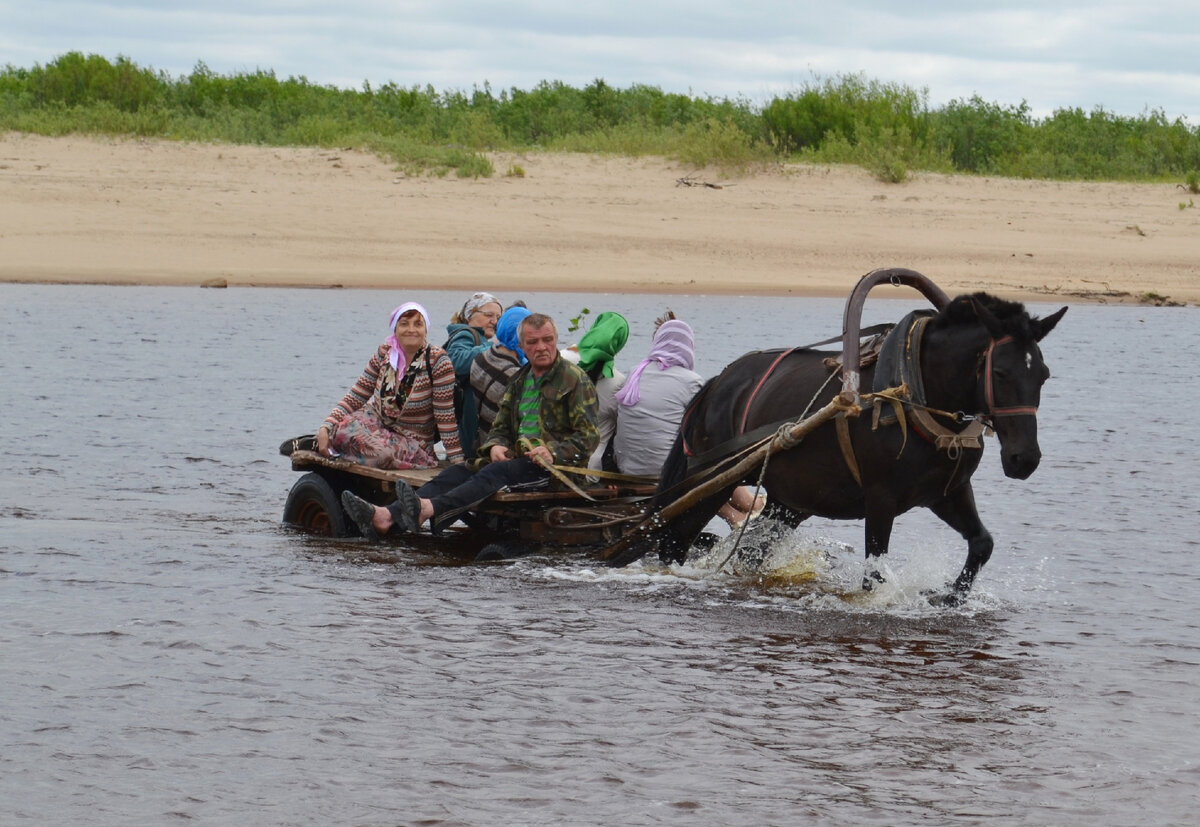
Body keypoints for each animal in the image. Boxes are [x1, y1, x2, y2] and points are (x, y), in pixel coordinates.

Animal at [609, 290, 1070, 607]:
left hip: (791, 500)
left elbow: (982, 544)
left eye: (1044, 374)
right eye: (1001, 372)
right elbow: (874, 575)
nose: (1024, 459)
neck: (912, 386)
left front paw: (949, 596)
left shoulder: (947, 492)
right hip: (713, 480)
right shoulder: (880, 498)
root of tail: (719, 382)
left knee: (751, 548)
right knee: (673, 541)